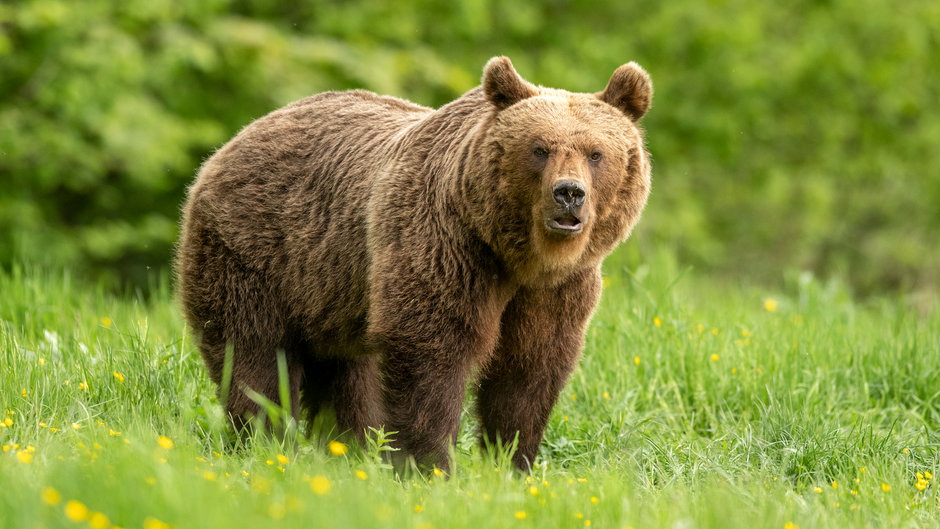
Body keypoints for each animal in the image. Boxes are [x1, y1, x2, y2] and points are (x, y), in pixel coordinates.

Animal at [173, 57, 648, 470]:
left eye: (595, 153)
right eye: (539, 149)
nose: (569, 193)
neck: (518, 255)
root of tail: (231, 143)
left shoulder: (556, 289)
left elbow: (529, 370)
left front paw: (510, 461)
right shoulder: (444, 247)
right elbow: (431, 352)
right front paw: (429, 464)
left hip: (333, 290)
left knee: (346, 375)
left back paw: (347, 449)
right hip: (254, 252)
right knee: (253, 356)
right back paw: (263, 442)